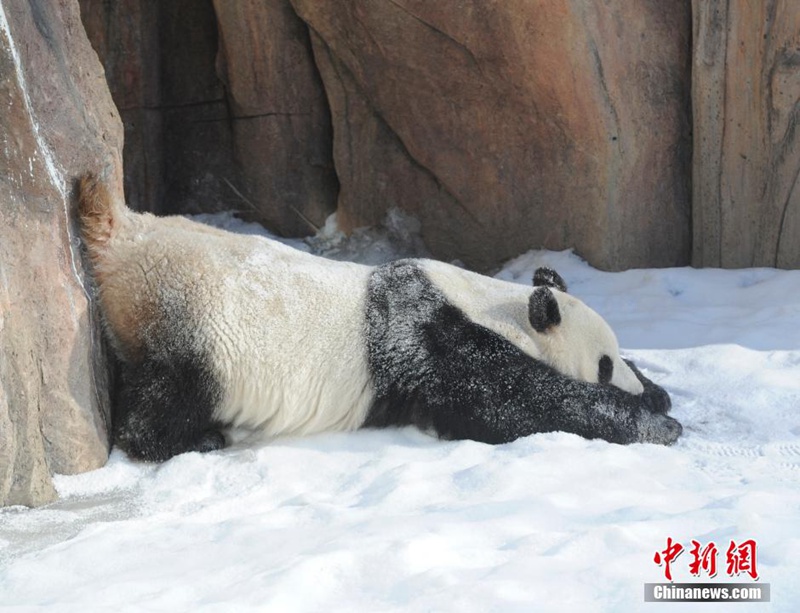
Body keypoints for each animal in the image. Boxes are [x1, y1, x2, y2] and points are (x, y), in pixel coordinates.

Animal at [78, 172, 684, 460]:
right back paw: (199, 439)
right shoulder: (436, 340)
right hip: (196, 328)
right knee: (170, 397)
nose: (632, 385)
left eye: (616, 357)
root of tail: (127, 241)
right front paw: (657, 423)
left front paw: (657, 393)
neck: (497, 305)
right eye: (602, 364)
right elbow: (514, 407)